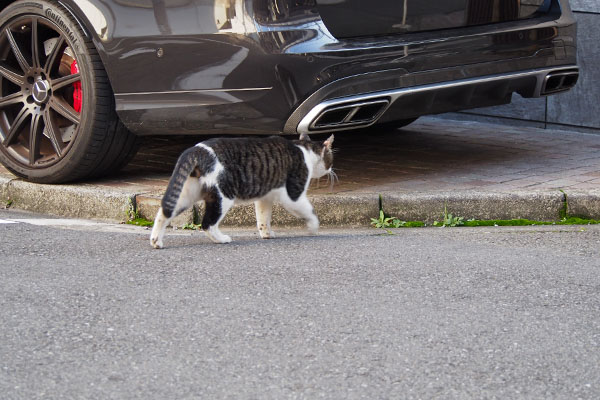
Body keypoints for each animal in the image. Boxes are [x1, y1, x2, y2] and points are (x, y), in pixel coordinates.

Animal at [150, 133, 336, 248]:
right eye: (330, 159)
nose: (331, 169)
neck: (304, 150)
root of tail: (197, 149)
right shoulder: (293, 195)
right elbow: (309, 211)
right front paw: (313, 227)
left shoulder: (265, 197)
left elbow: (263, 218)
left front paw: (266, 233)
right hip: (223, 196)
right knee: (207, 223)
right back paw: (221, 239)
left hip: (186, 194)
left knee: (164, 212)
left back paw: (156, 241)